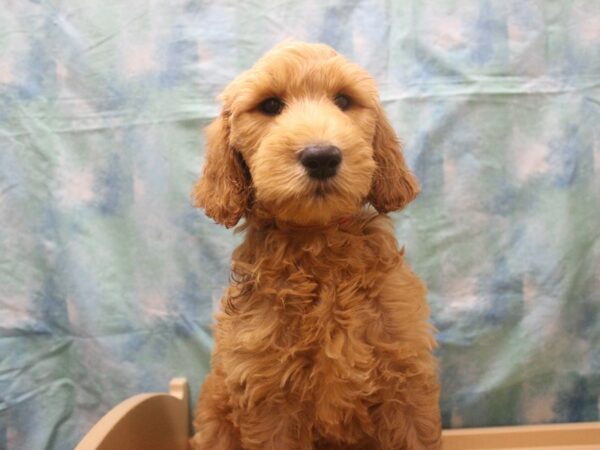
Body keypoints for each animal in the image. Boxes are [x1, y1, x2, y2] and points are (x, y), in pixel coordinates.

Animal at [191, 42, 440, 450]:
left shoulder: (406, 378)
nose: (321, 156)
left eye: (343, 100)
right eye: (270, 105)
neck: (319, 245)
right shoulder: (268, 398)